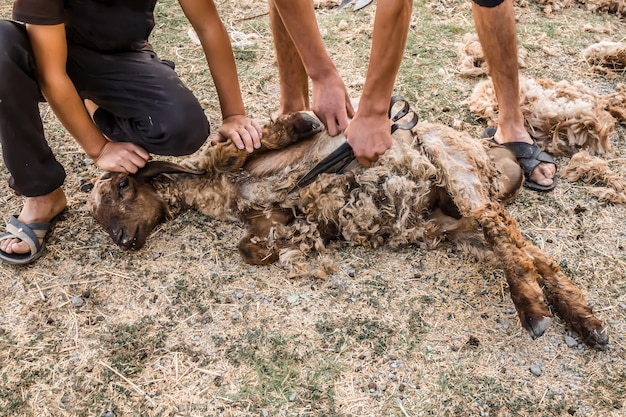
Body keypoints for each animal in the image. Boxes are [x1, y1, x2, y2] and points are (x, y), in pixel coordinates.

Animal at [89, 110, 608, 348]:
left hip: (452, 162)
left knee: (502, 228)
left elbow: (260, 138)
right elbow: (253, 247)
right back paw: (585, 321)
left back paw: (534, 313)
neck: (220, 191)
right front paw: (272, 245)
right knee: (528, 250)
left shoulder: (265, 150)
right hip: (458, 228)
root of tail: (499, 157)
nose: (121, 240)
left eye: (121, 185)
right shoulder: (269, 215)